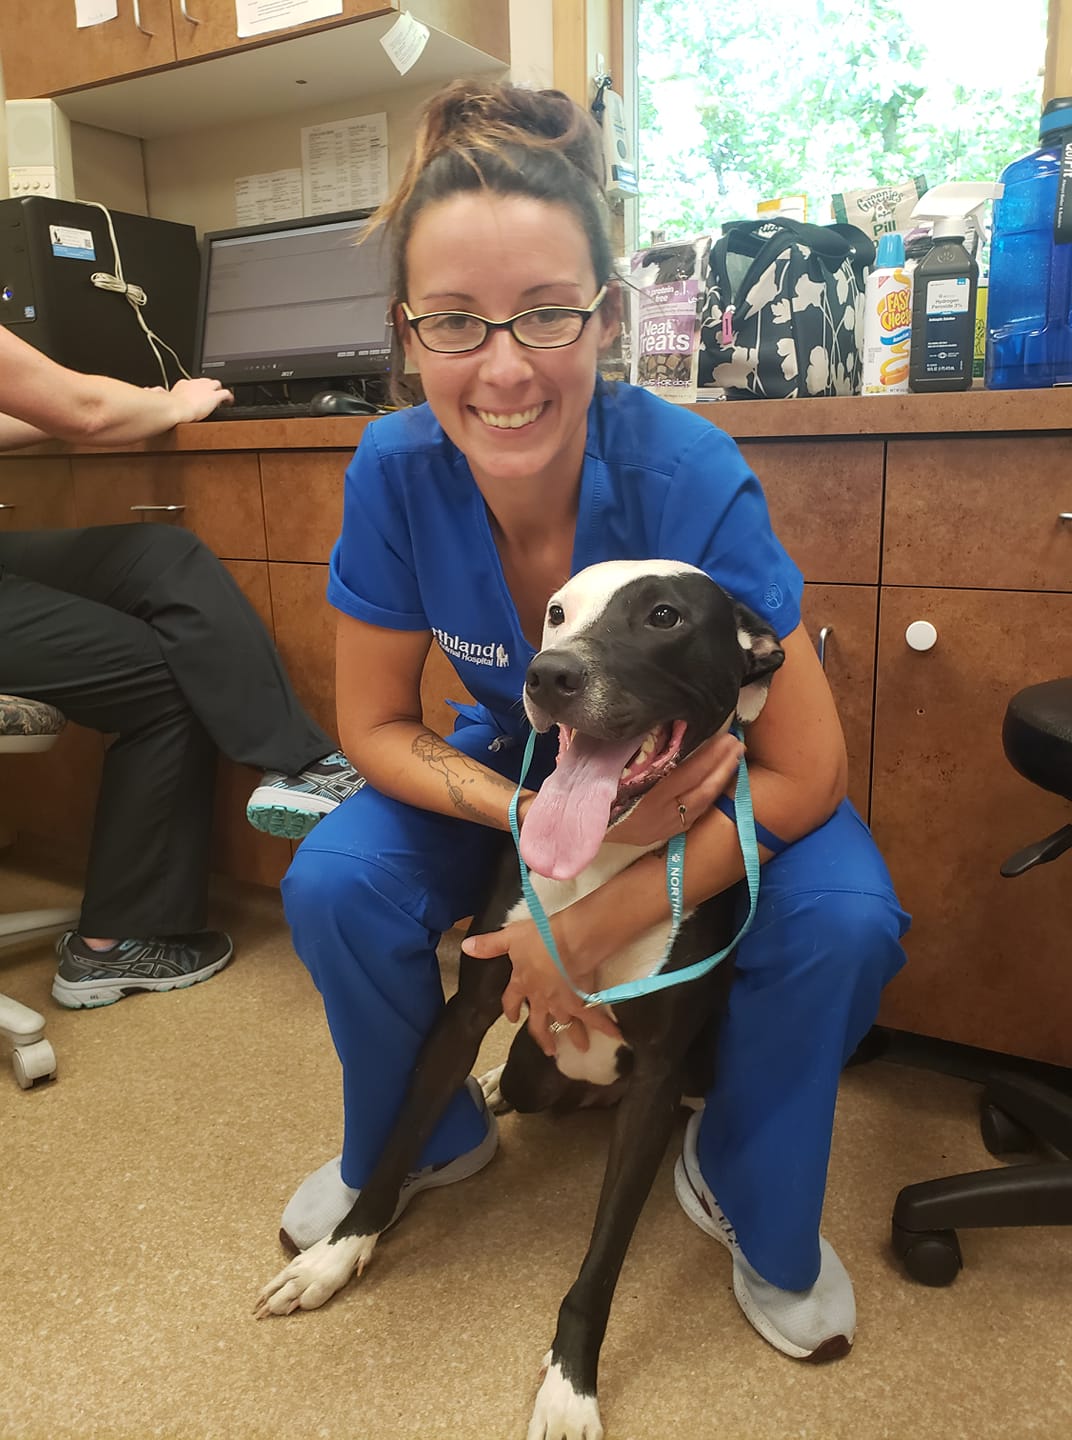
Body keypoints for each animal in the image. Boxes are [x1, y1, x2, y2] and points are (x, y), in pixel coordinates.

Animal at [255, 559, 784, 1440]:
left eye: (664, 616)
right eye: (557, 614)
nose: (550, 675)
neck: (599, 856)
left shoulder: (655, 1073)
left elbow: (602, 1261)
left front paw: (571, 1384)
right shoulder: (466, 1009)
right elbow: (396, 1144)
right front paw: (335, 1256)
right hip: (544, 1072)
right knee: (529, 1082)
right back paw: (502, 1084)